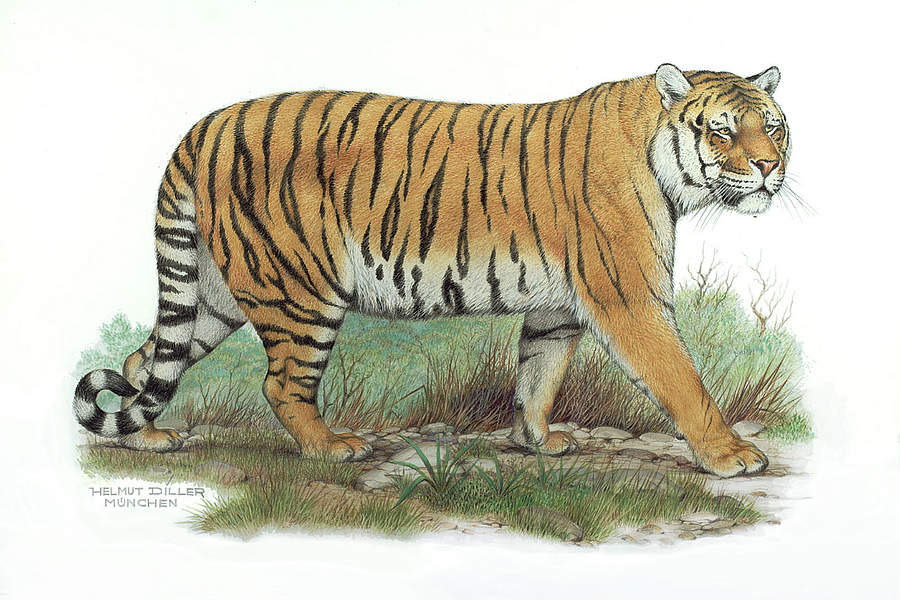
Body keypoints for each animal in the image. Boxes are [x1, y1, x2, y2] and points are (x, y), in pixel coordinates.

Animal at [74, 63, 789, 478]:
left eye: (774, 127)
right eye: (724, 131)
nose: (769, 167)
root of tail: (205, 126)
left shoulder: (557, 309)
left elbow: (539, 375)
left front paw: (539, 441)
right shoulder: (630, 299)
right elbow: (682, 381)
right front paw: (731, 456)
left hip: (217, 294)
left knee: (145, 362)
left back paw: (148, 439)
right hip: (300, 290)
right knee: (279, 384)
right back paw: (331, 447)